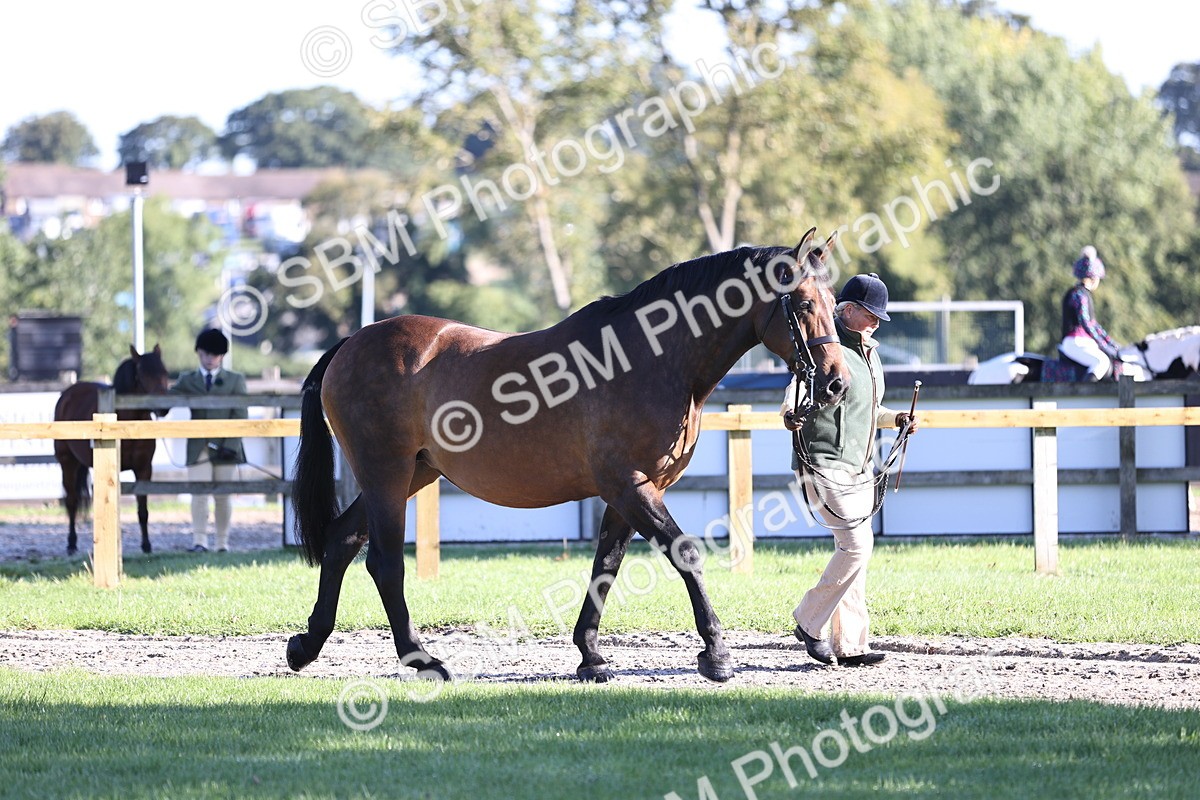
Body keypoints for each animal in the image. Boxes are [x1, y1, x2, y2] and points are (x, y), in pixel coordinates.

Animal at [53, 345, 171, 555]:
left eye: (165, 372)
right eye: (142, 374)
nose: (163, 409)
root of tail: (68, 394)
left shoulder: (144, 469)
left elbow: (143, 510)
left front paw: (146, 545)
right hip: (67, 463)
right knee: (72, 501)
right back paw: (71, 543)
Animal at [287, 228, 850, 684]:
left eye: (833, 301)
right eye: (802, 303)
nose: (837, 384)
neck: (651, 358)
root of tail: (350, 344)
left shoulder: (631, 493)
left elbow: (607, 565)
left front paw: (591, 656)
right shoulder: (630, 484)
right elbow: (685, 554)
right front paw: (716, 655)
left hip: (411, 474)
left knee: (342, 541)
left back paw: (306, 646)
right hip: (387, 474)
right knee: (383, 562)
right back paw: (423, 660)